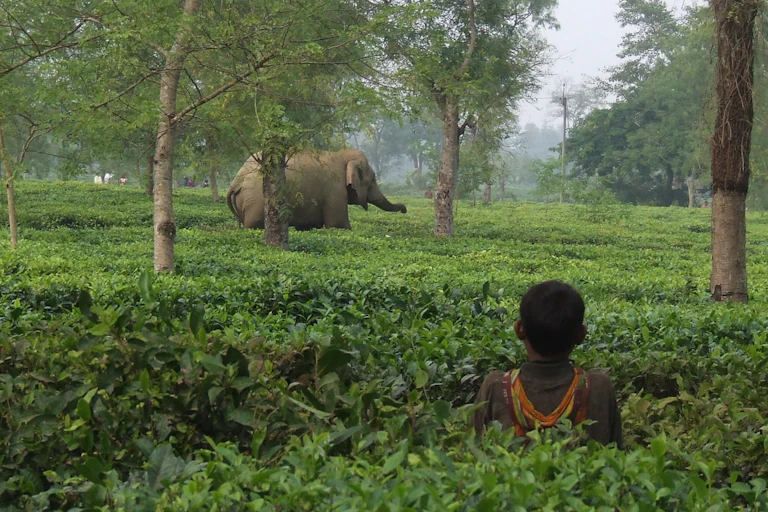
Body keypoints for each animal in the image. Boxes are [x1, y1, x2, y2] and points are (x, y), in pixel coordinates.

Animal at [226, 149, 407, 230]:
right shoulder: (335, 189)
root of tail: (236, 181)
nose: (405, 209)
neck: (343, 154)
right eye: (373, 180)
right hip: (257, 200)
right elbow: (338, 225)